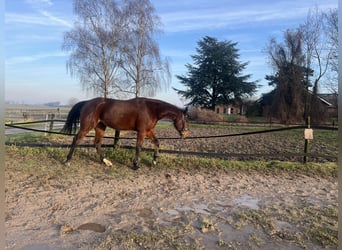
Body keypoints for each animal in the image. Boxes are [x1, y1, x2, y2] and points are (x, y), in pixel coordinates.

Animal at [61, 96, 190, 169]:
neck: (152, 109)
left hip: (100, 127)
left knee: (97, 143)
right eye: (186, 119)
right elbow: (139, 147)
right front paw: (136, 165)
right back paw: (67, 161)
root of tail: (87, 102)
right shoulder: (142, 131)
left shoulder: (148, 131)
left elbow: (157, 142)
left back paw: (106, 162)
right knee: (76, 139)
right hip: (87, 126)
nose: (186, 134)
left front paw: (154, 162)